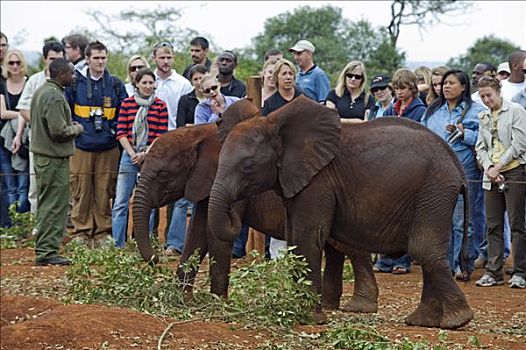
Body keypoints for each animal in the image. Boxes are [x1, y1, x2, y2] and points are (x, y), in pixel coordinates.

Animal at [208, 95, 476, 328]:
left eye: (247, 166)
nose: (233, 210)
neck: (276, 125)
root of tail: (457, 166)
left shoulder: (318, 181)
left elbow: (307, 238)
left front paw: (310, 318)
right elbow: (295, 238)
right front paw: (298, 311)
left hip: (433, 191)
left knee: (423, 249)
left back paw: (456, 321)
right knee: (426, 251)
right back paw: (424, 321)